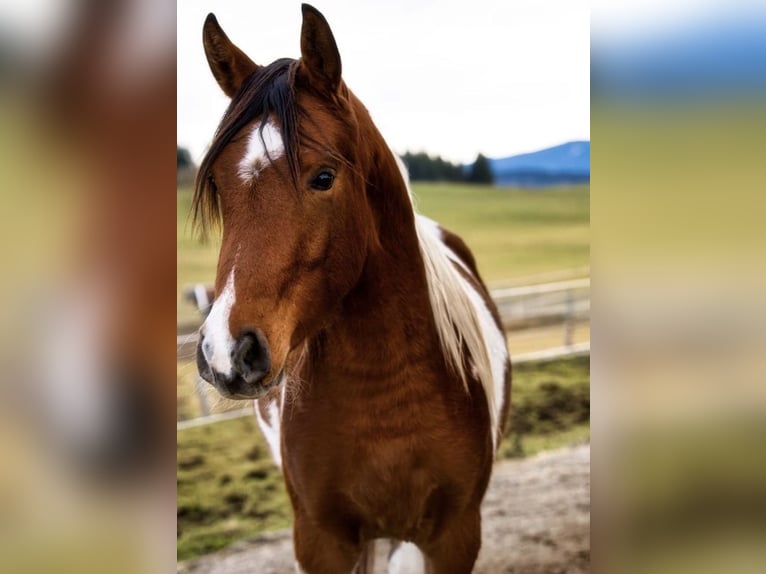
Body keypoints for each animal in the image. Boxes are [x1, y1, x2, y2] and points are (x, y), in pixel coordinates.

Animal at [193, 5, 511, 573]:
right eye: (218, 187)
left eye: (323, 177)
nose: (226, 352)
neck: (382, 393)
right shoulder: (321, 540)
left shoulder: (455, 536)